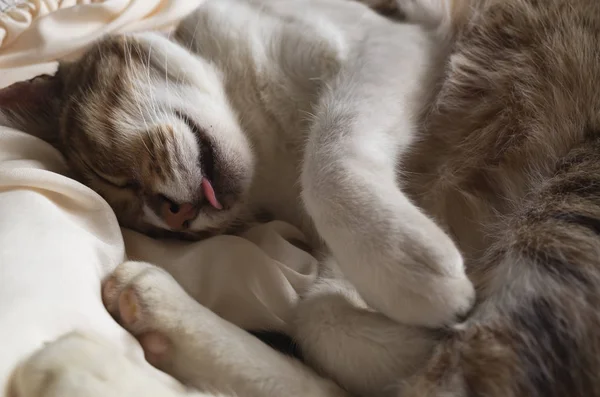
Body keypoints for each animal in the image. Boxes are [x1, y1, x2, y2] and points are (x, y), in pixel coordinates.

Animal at [3, 0, 600, 396]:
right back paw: (116, 332)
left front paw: (413, 271)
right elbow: (318, 317)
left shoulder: (390, 45)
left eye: (116, 174)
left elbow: (328, 152)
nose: (176, 215)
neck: (268, 151)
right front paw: (430, 318)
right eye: (141, 221)